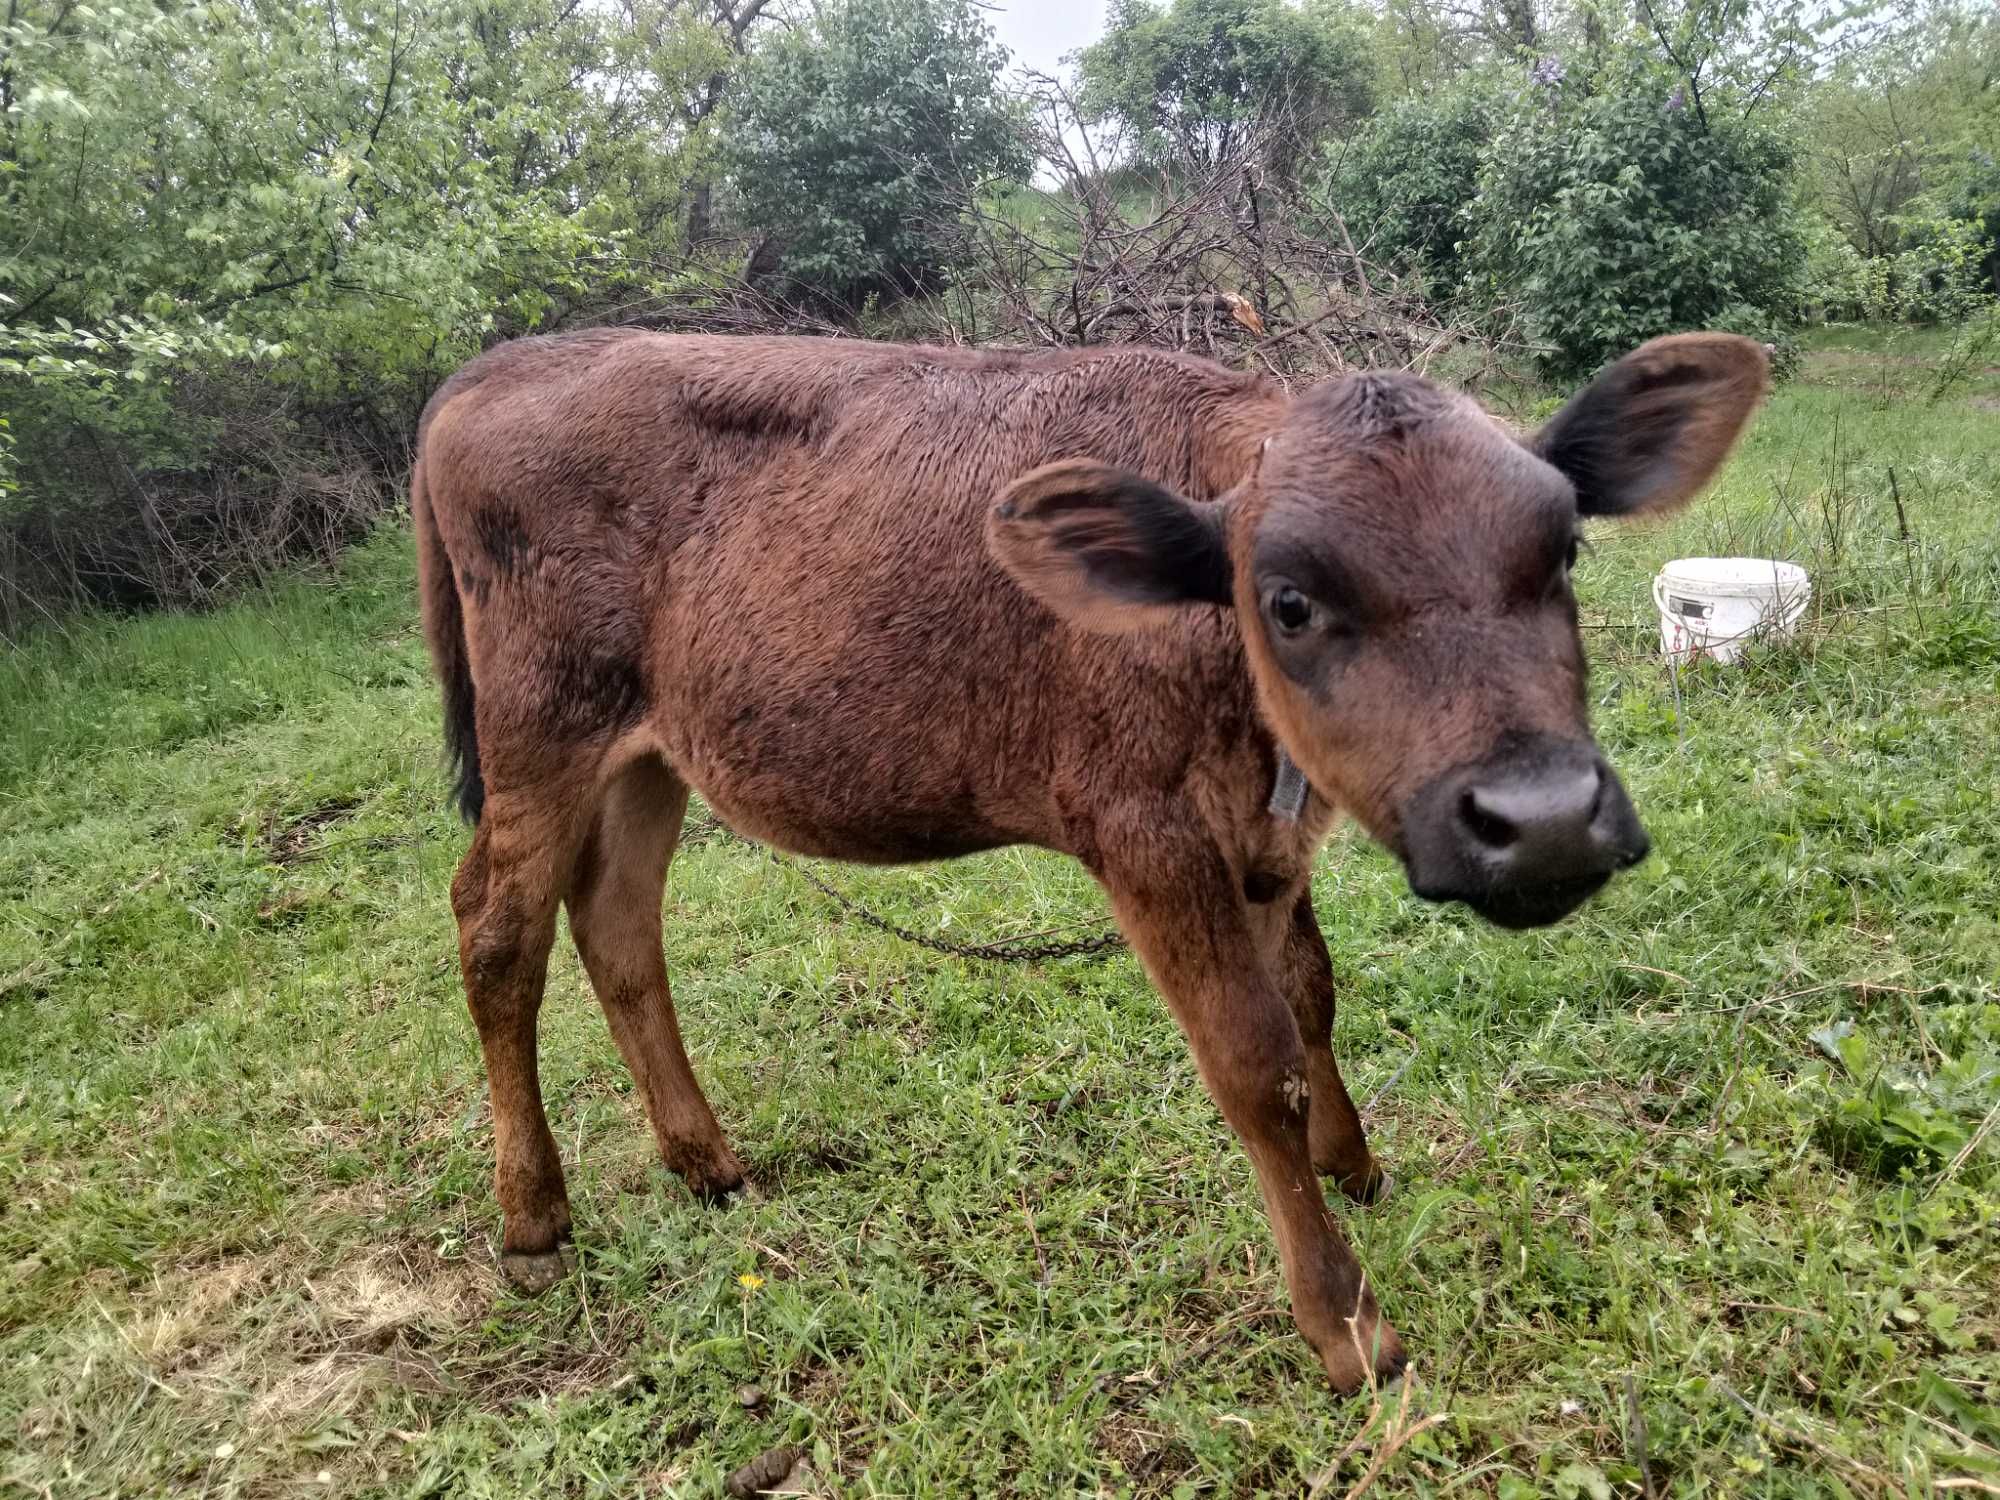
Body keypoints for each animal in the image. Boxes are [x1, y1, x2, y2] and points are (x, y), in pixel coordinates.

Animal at [410, 332, 1768, 1400]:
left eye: (1564, 554)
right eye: (1286, 600)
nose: (1542, 819)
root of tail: (499, 365)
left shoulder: (1270, 834)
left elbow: (1312, 994)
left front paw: (1354, 1163)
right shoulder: (1144, 835)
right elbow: (1252, 1062)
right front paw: (1346, 1325)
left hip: (651, 754)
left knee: (617, 923)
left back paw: (707, 1164)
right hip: (541, 731)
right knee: (496, 927)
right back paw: (533, 1214)